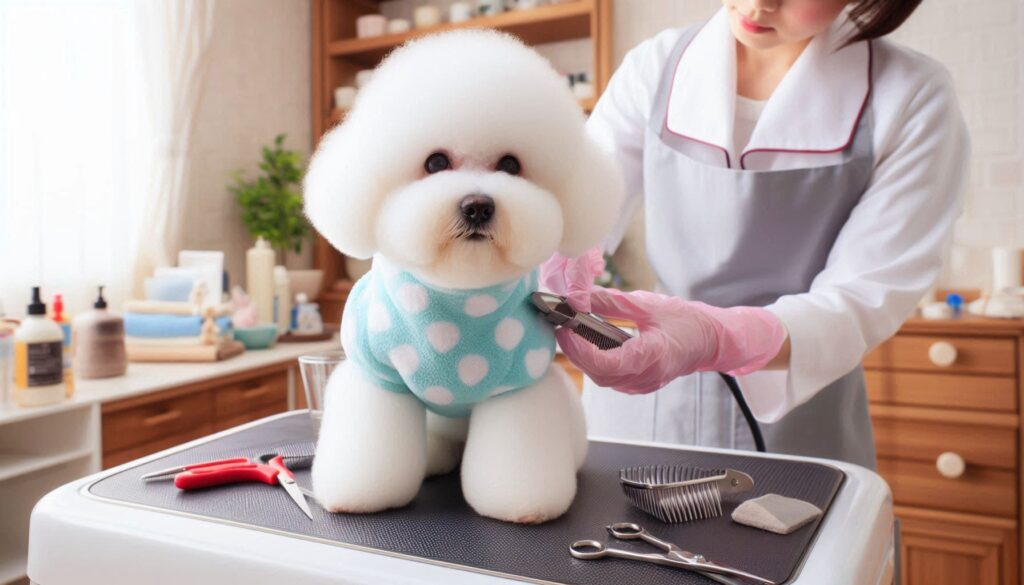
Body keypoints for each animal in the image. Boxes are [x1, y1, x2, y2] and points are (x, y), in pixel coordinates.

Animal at [301, 29, 622, 524]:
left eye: (510, 165)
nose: (477, 206)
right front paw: (362, 493)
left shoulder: (516, 387)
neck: (458, 296)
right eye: (435, 163)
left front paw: (522, 504)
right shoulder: (379, 378)